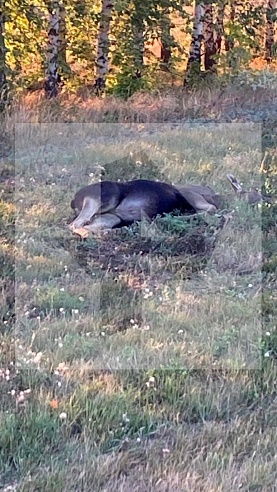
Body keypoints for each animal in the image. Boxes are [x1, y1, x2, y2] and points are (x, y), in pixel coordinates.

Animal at [69, 174, 268, 237]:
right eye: (251, 193)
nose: (266, 199)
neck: (219, 198)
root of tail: (74, 200)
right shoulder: (189, 193)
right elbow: (210, 210)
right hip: (103, 197)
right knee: (74, 224)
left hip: (112, 217)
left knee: (87, 227)